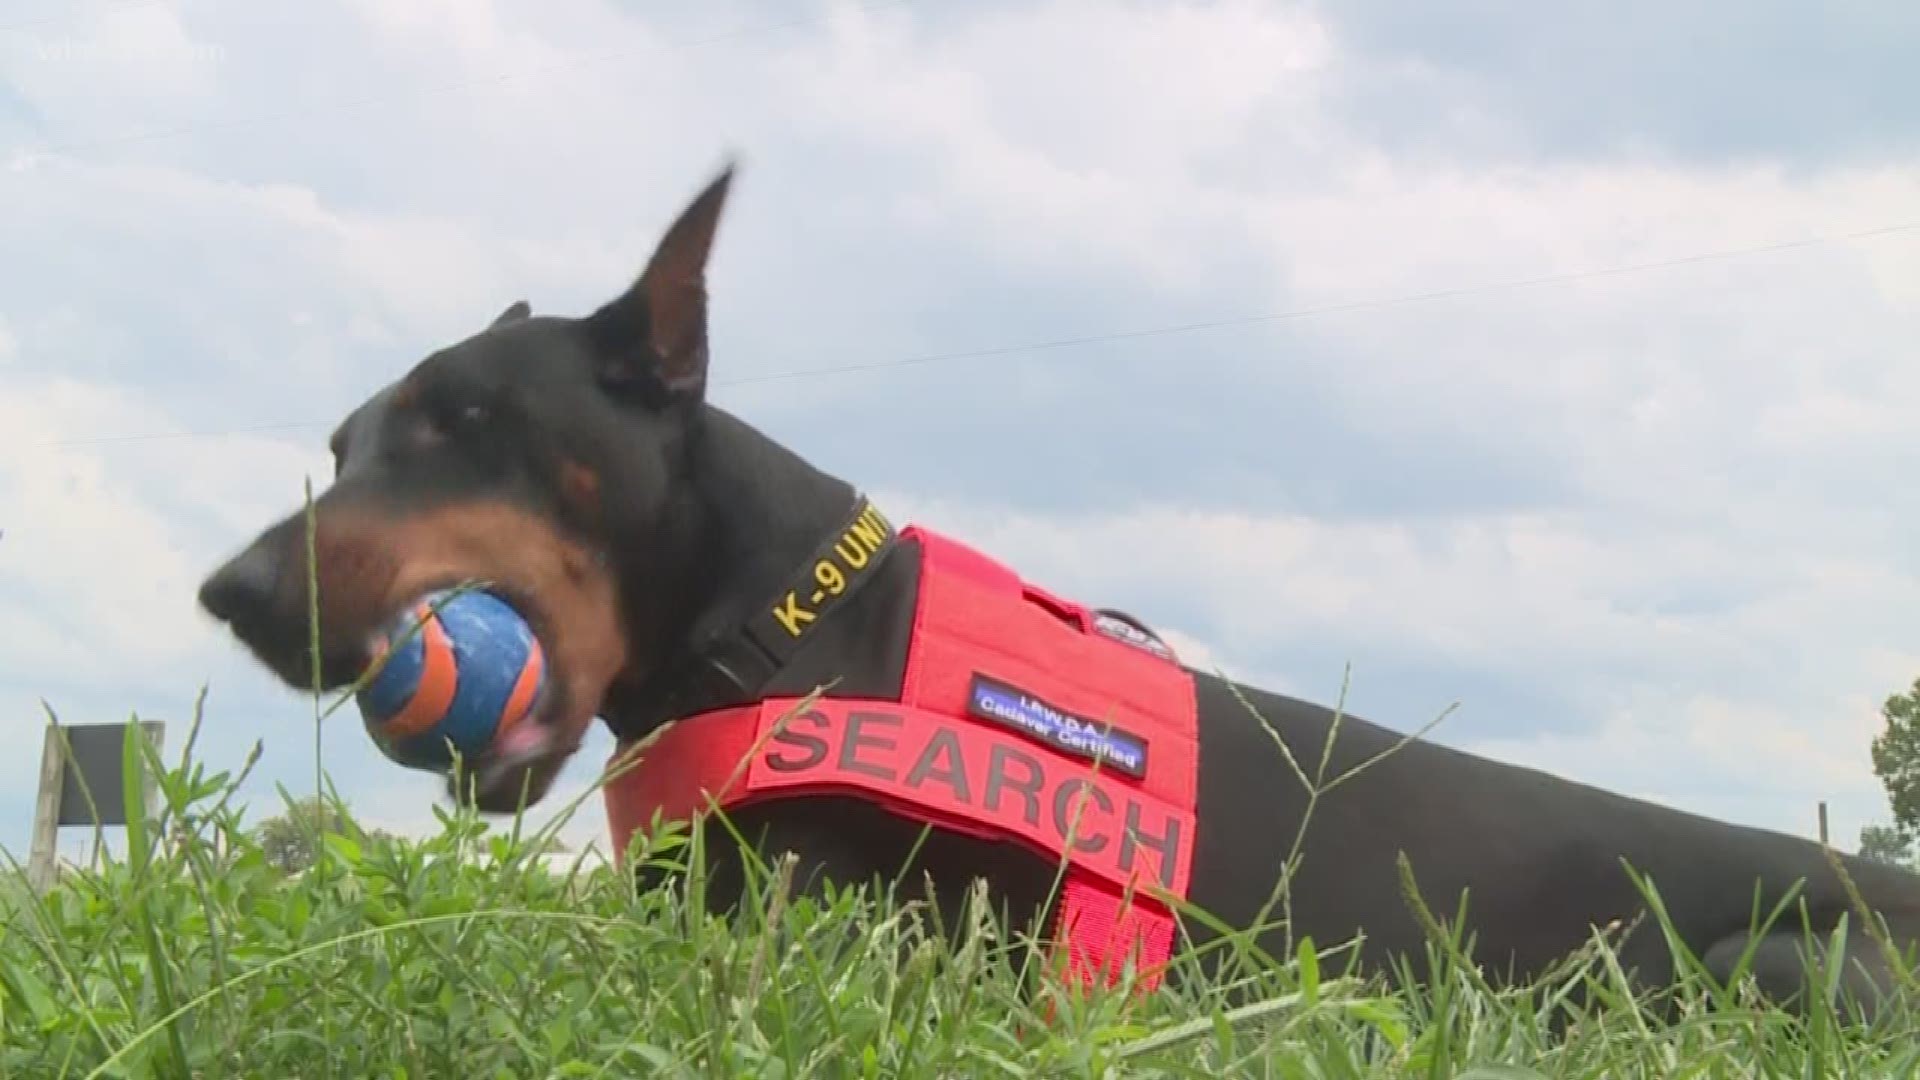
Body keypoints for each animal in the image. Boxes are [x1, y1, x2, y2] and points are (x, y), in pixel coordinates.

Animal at [198, 164, 1920, 1014]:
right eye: (345, 441)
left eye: (458, 418)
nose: (232, 591)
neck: (786, 628)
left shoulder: (831, 944)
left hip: (1767, 959)